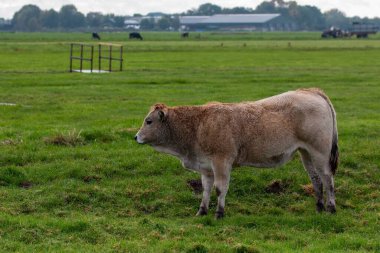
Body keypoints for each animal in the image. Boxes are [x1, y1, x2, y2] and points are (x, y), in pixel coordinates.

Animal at [134, 88, 338, 218]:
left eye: (149, 121)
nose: (136, 137)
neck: (198, 125)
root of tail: (311, 91)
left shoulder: (221, 162)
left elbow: (220, 188)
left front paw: (219, 213)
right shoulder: (206, 167)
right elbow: (206, 189)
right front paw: (202, 211)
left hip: (320, 153)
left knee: (327, 179)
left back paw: (331, 208)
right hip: (306, 153)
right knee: (316, 179)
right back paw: (319, 207)